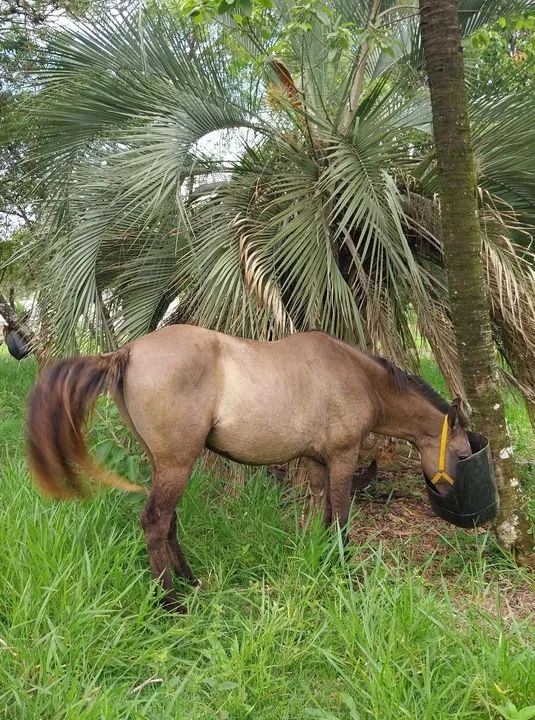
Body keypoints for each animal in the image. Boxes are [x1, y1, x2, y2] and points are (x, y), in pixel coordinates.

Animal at [27, 325, 472, 611]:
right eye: (463, 452)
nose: (451, 496)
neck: (355, 376)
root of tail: (128, 352)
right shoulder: (344, 457)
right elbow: (342, 515)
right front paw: (343, 568)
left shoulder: (317, 461)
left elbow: (323, 510)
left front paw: (320, 556)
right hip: (177, 465)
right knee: (155, 520)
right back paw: (171, 602)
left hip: (165, 464)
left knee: (168, 521)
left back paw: (189, 581)